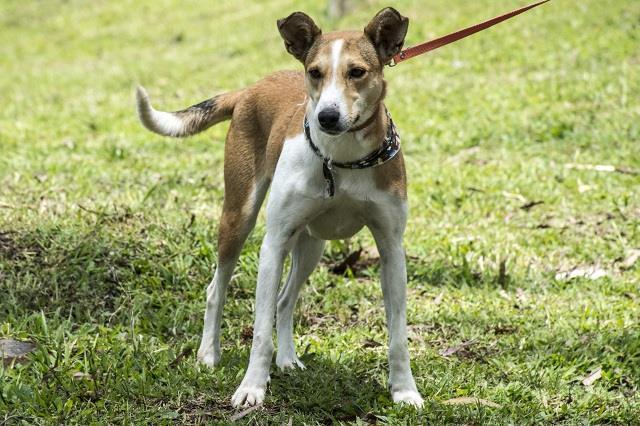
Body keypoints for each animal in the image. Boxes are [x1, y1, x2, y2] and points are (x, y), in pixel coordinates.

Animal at [136, 5, 424, 406]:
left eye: (357, 72)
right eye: (315, 72)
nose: (327, 117)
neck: (343, 161)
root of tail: (250, 89)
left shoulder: (391, 248)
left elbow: (397, 334)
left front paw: (404, 390)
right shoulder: (273, 243)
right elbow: (260, 331)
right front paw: (252, 387)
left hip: (311, 244)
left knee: (286, 300)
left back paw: (287, 359)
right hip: (238, 217)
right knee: (217, 290)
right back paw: (208, 354)